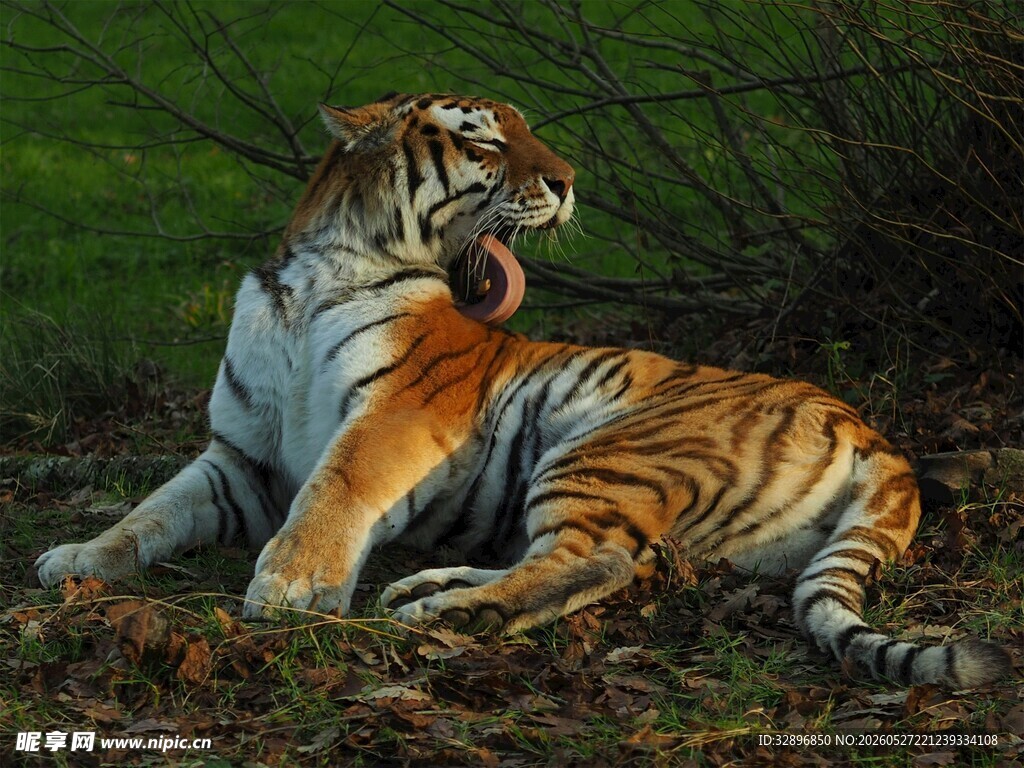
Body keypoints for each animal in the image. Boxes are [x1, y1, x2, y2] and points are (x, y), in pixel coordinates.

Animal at [35, 92, 1010, 689]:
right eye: (483, 138)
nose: (570, 182)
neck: (319, 269)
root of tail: (870, 429)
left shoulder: (394, 412)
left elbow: (337, 489)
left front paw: (292, 590)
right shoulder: (242, 458)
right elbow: (151, 513)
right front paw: (77, 560)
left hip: (604, 448)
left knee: (595, 561)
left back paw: (443, 610)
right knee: (608, 560)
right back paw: (427, 587)